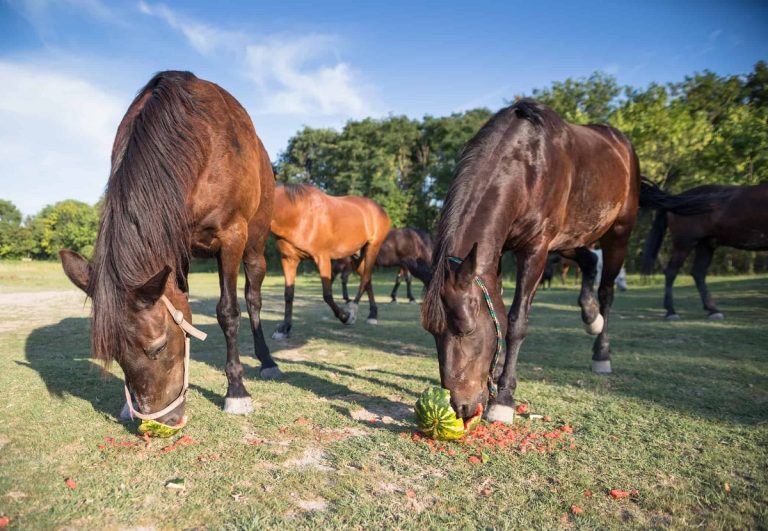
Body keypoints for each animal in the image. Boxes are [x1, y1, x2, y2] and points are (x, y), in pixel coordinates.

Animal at [59, 71, 278, 426]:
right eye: (115, 355)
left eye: (158, 347)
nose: (163, 420)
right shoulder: (176, 246)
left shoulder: (231, 236)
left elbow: (228, 312)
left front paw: (236, 391)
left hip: (254, 245)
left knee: (253, 299)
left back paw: (267, 361)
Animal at [270, 184, 391, 338]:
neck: (299, 214)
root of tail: (379, 209)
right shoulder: (289, 260)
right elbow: (288, 294)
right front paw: (285, 328)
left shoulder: (322, 258)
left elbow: (327, 294)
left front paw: (345, 316)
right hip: (357, 256)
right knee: (367, 279)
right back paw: (372, 315)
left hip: (373, 248)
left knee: (365, 279)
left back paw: (353, 311)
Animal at [420, 99, 670, 425]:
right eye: (431, 332)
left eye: (466, 329)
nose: (460, 407)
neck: (525, 165)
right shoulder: (497, 253)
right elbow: (500, 311)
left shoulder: (536, 250)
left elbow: (516, 321)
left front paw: (503, 398)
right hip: (570, 240)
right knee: (590, 262)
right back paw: (591, 317)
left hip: (618, 233)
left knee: (607, 290)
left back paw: (601, 352)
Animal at [640, 183, 768, 320]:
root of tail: (676, 199)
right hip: (684, 244)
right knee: (671, 272)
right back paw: (671, 312)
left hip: (705, 245)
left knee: (698, 273)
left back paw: (713, 310)